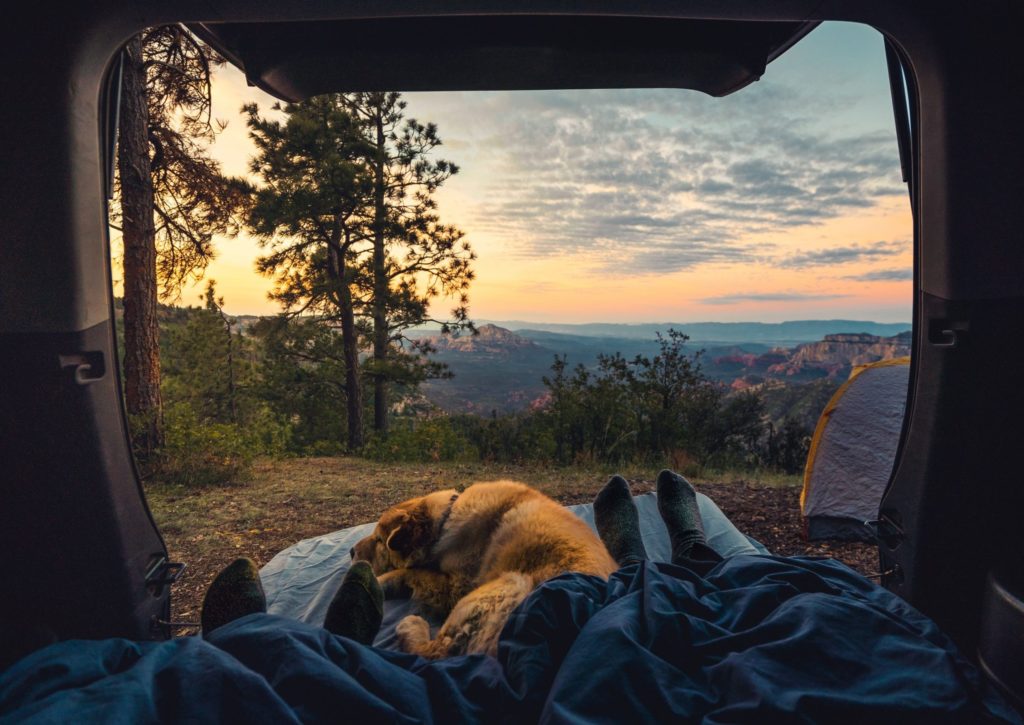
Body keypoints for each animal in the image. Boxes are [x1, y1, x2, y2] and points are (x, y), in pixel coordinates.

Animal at [352, 481, 614, 655]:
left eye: (379, 540)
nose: (351, 551)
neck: (446, 519)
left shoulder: (455, 587)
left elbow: (409, 572)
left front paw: (379, 581)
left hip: (506, 585)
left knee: (435, 653)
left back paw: (412, 627)